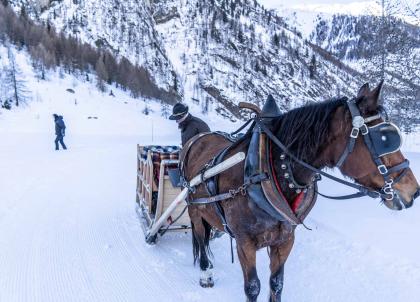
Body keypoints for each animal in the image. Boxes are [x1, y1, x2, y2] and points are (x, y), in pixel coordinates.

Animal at [182, 81, 418, 300]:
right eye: (385, 139)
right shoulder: (244, 242)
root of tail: (198, 138)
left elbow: (276, 283)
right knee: (201, 237)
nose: (413, 190)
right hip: (194, 210)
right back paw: (206, 273)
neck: (271, 170)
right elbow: (253, 287)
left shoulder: (285, 239)